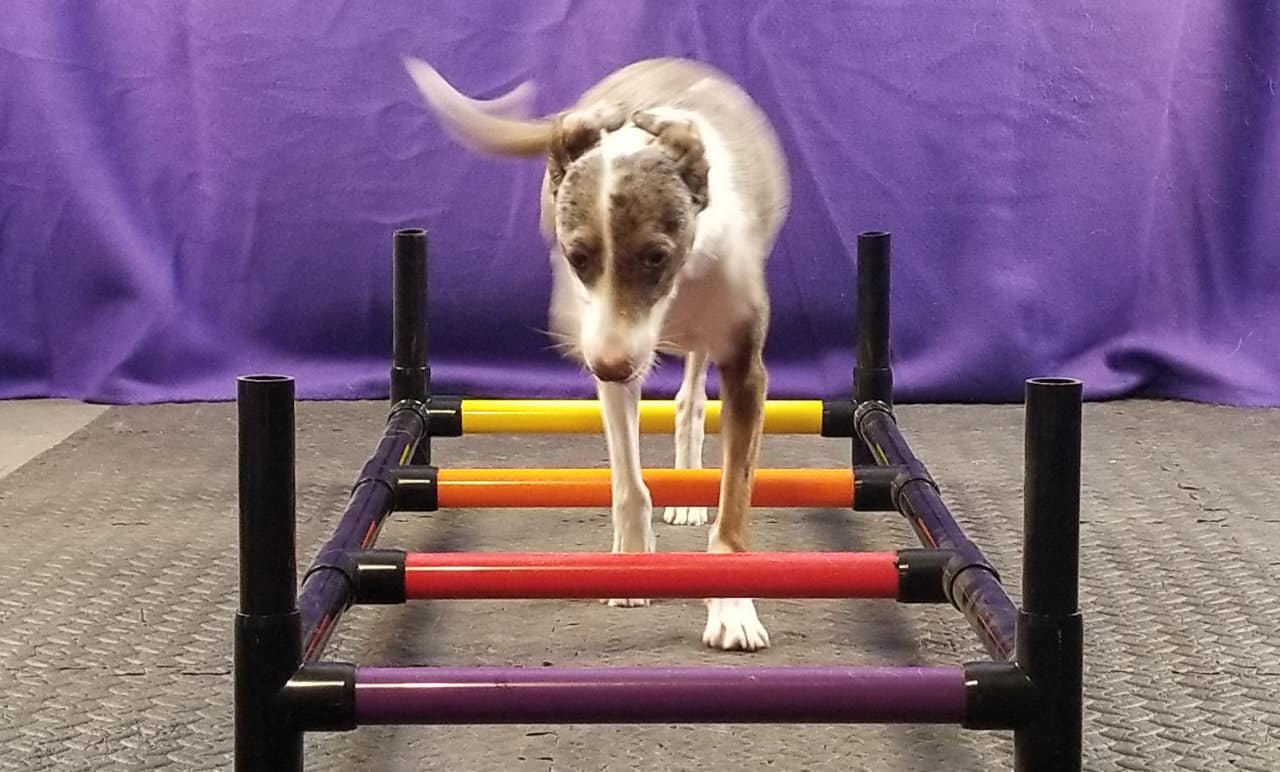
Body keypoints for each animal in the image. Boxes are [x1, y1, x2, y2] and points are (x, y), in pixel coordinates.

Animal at [404, 56, 793, 652]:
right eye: (578, 255)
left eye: (656, 256)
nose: (607, 363)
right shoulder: (609, 355)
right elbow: (628, 481)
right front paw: (631, 565)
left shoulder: (745, 369)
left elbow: (735, 500)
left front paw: (732, 608)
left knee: (691, 400)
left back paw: (688, 490)